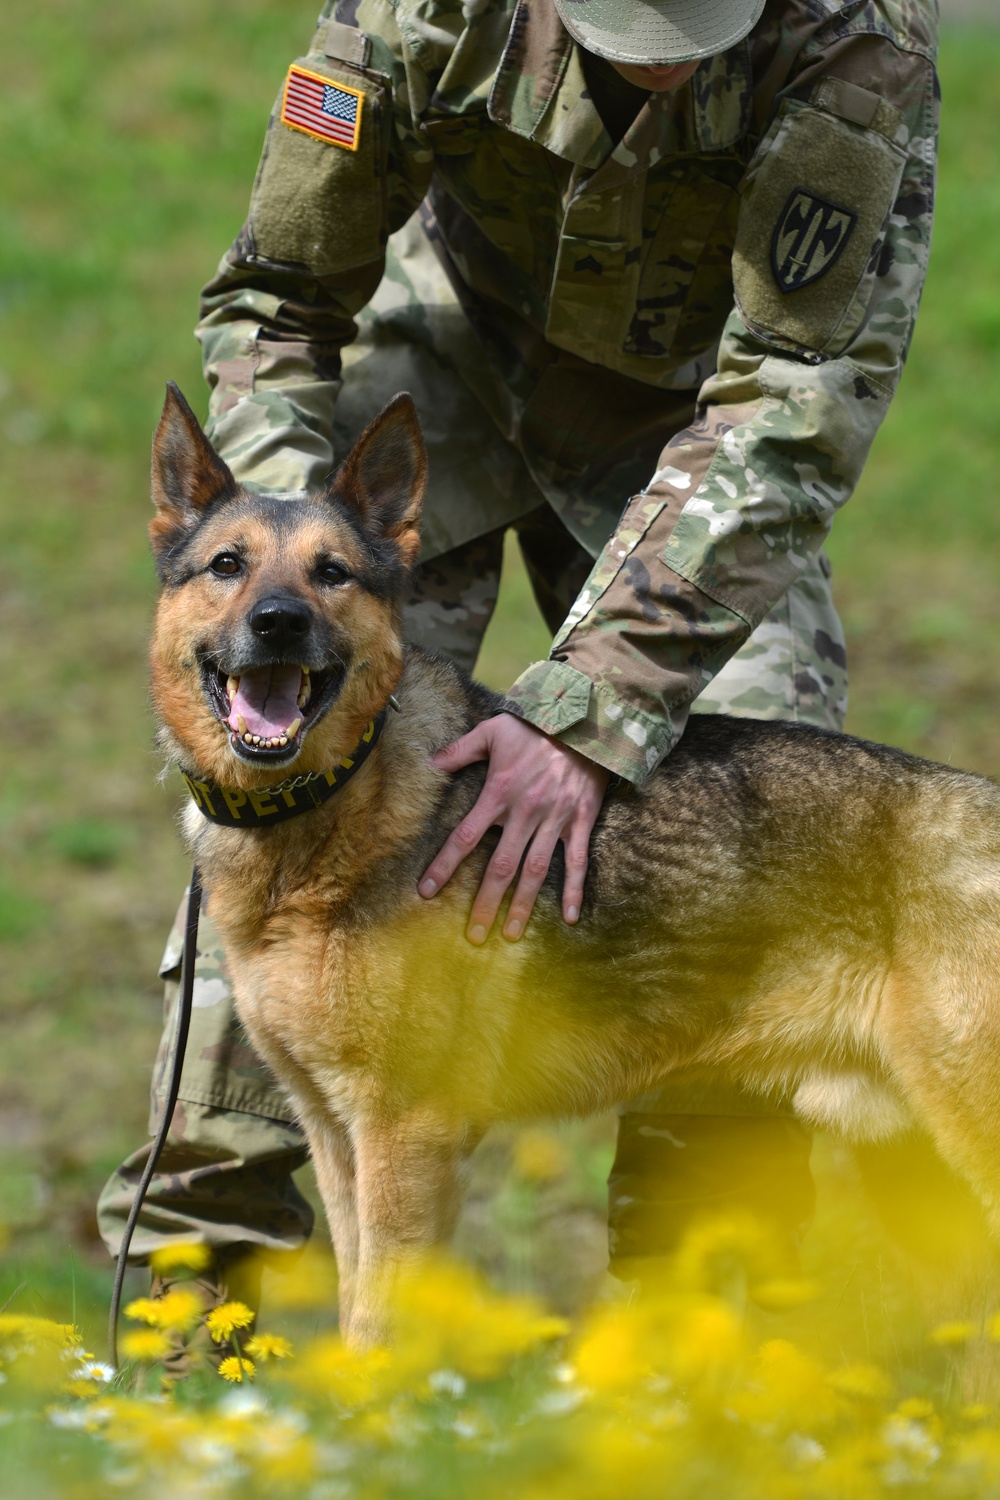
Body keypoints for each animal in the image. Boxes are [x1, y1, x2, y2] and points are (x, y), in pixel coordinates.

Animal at [148, 387, 1000, 1350]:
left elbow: (381, 1328)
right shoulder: (337, 1137)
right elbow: (356, 1313)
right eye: (227, 566)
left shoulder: (405, 1134)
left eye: (333, 574)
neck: (329, 816)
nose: (279, 623)